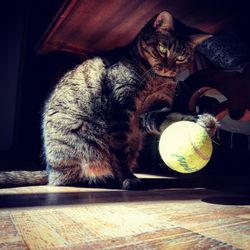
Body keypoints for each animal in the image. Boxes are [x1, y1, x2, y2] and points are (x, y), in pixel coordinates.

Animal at [0, 10, 217, 188]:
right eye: (163, 49)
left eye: (181, 58)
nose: (169, 69)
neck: (155, 78)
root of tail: (50, 170)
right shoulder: (120, 108)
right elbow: (119, 153)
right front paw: (127, 178)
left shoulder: (154, 108)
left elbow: (171, 117)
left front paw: (202, 121)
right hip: (81, 140)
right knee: (68, 178)